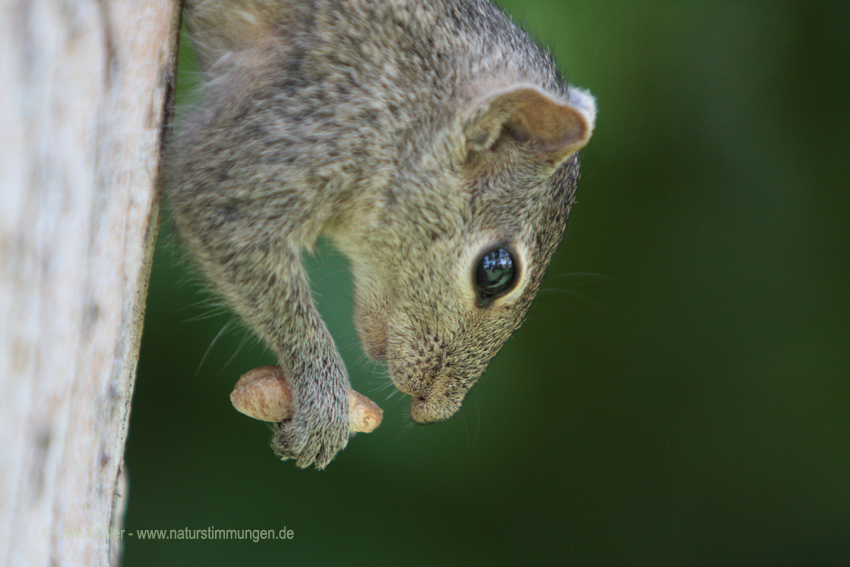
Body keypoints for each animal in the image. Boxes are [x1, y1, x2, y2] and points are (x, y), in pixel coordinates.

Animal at [164, 0, 588, 470]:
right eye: (495, 272)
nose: (432, 411)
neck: (413, 103)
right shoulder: (309, 123)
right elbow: (220, 211)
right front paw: (322, 398)